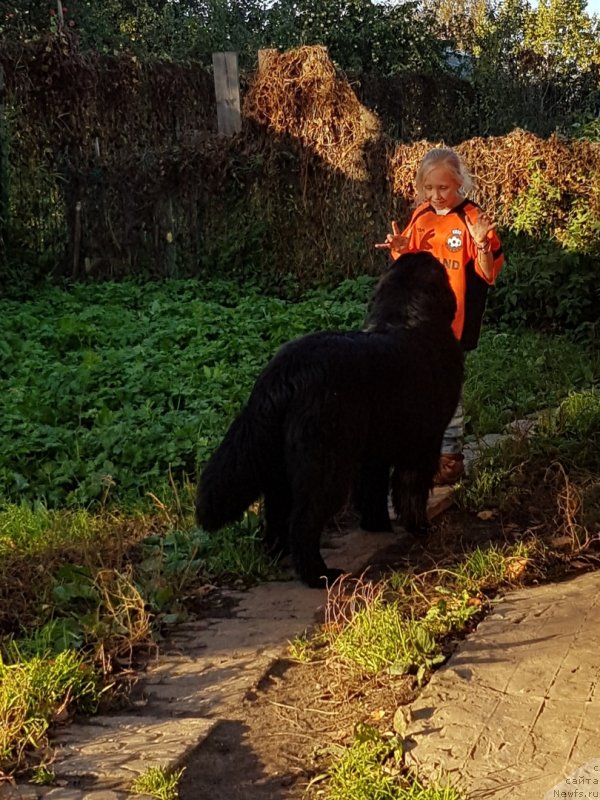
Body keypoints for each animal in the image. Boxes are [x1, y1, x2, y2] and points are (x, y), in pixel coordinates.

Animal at [196, 255, 464, 588]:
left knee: (277, 515)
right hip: (326, 466)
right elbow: (410, 489)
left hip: (279, 470)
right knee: (303, 520)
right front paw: (419, 527)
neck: (406, 317)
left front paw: (377, 525)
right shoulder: (423, 442)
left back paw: (277, 555)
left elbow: (372, 491)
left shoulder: (372, 453)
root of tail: (286, 371)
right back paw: (318, 574)